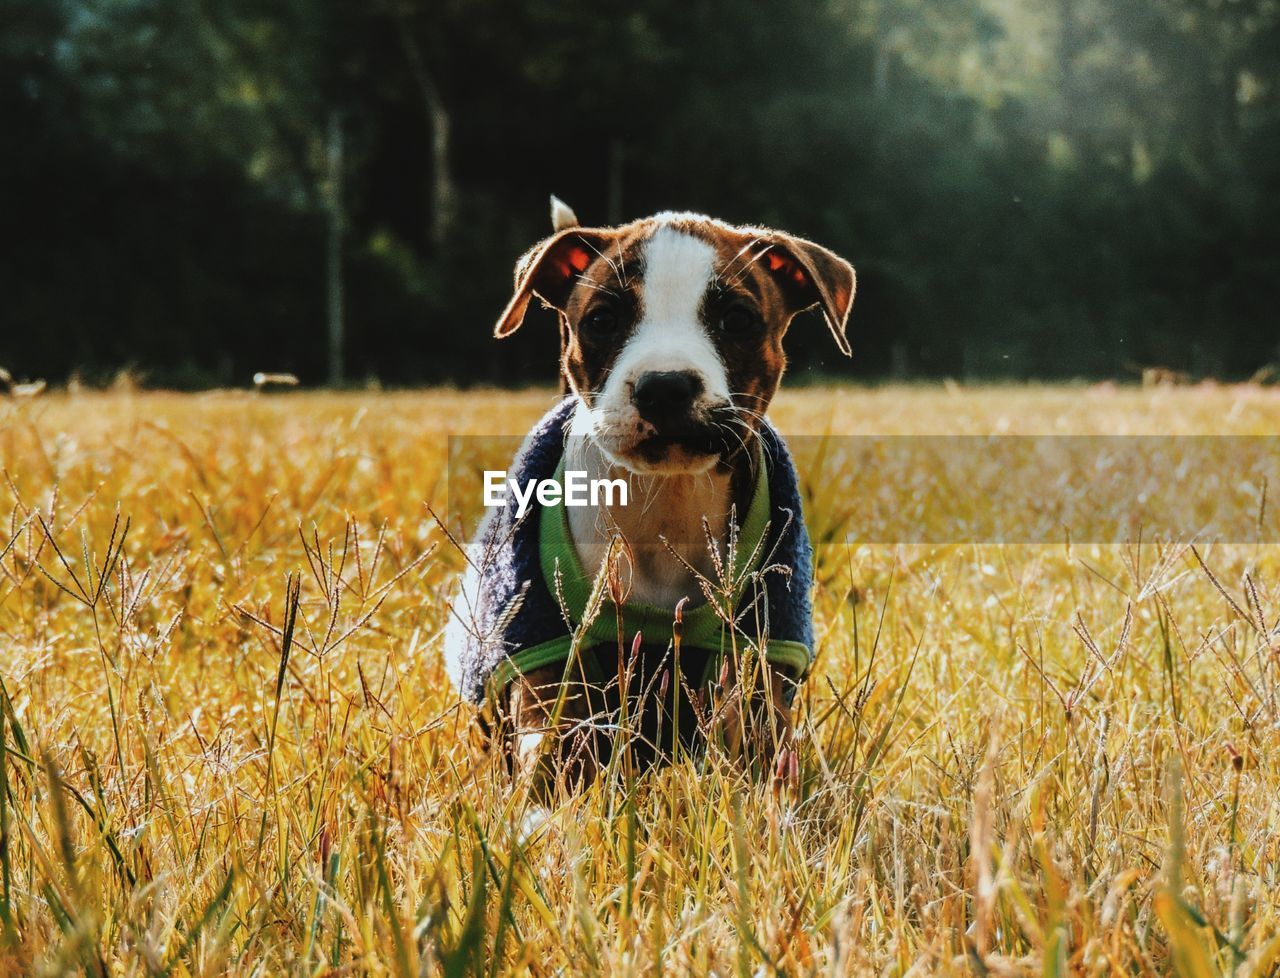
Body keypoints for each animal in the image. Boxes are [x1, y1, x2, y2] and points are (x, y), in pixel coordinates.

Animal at [445, 200, 855, 793]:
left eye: (737, 320)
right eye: (601, 320)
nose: (664, 385)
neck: (666, 502)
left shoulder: (759, 657)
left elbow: (757, 749)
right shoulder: (543, 657)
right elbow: (553, 752)